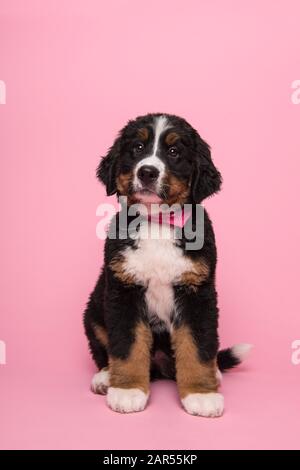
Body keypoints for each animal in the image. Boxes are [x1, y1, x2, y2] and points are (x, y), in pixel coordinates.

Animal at [84, 113, 251, 414]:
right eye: (137, 148)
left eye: (174, 152)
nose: (147, 172)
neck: (158, 222)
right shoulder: (123, 291)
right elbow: (127, 345)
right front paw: (127, 390)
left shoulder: (197, 293)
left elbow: (197, 347)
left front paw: (200, 394)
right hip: (92, 312)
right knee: (104, 349)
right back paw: (105, 377)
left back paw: (215, 374)